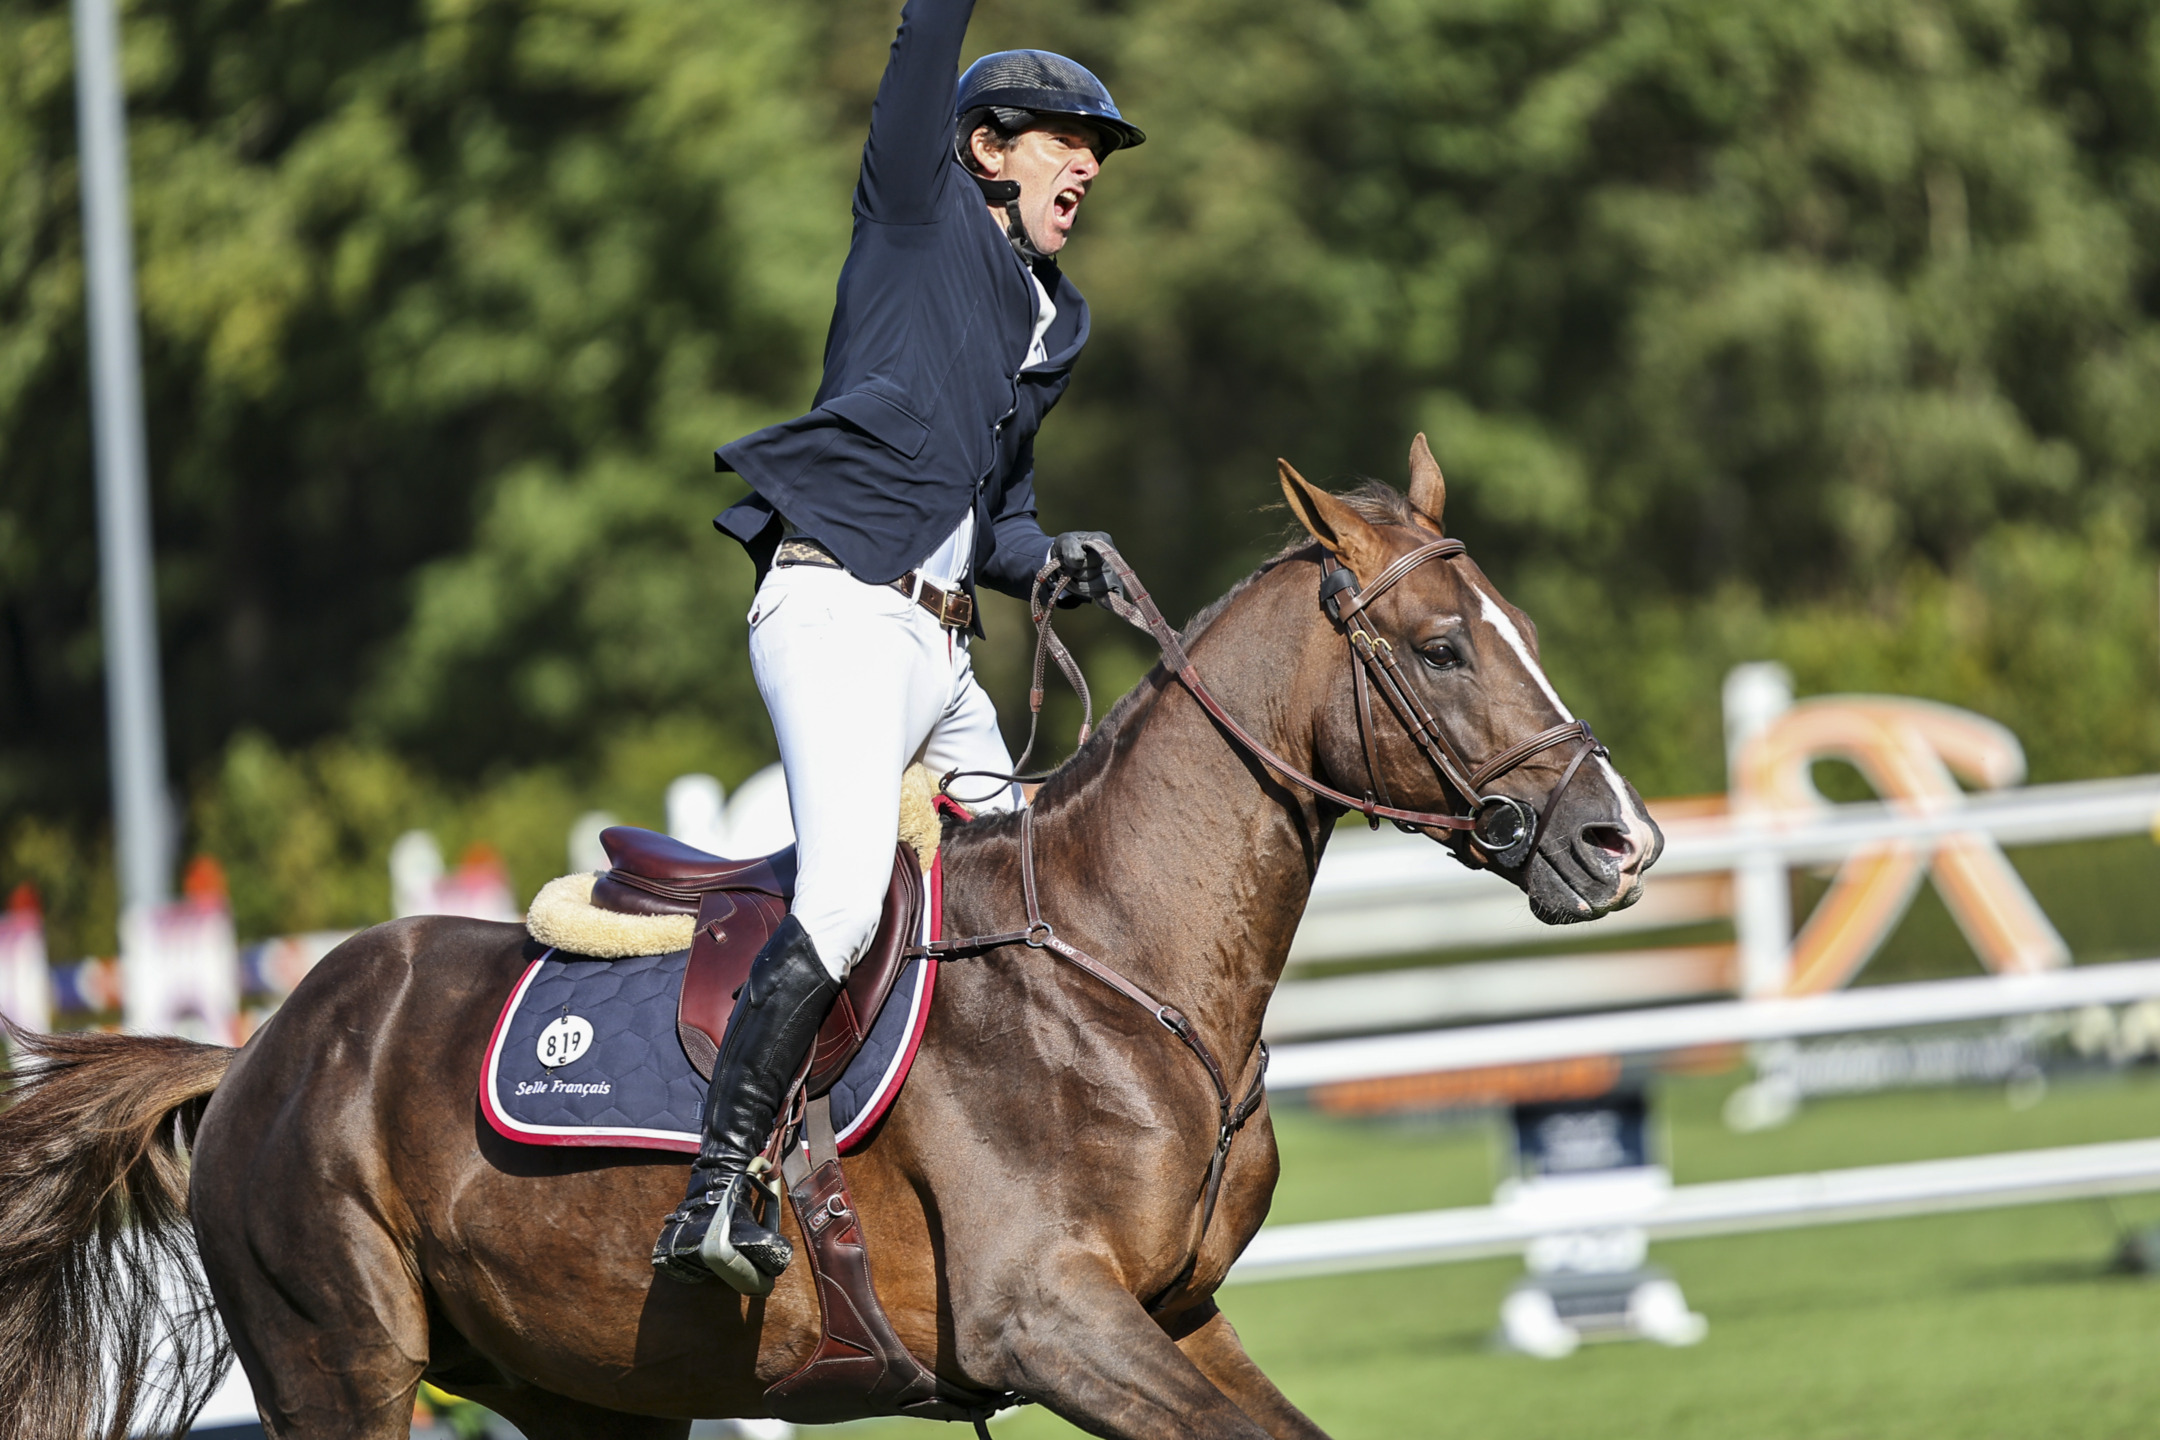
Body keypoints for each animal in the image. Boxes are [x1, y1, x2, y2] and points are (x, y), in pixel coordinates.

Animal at [0, 444, 1658, 1433]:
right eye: (1440, 649)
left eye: (1514, 628)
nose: (1618, 839)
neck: (1126, 974)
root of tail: (257, 1053)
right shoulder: (1049, 1320)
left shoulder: (1175, 1316)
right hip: (340, 1371)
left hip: (583, 1390)